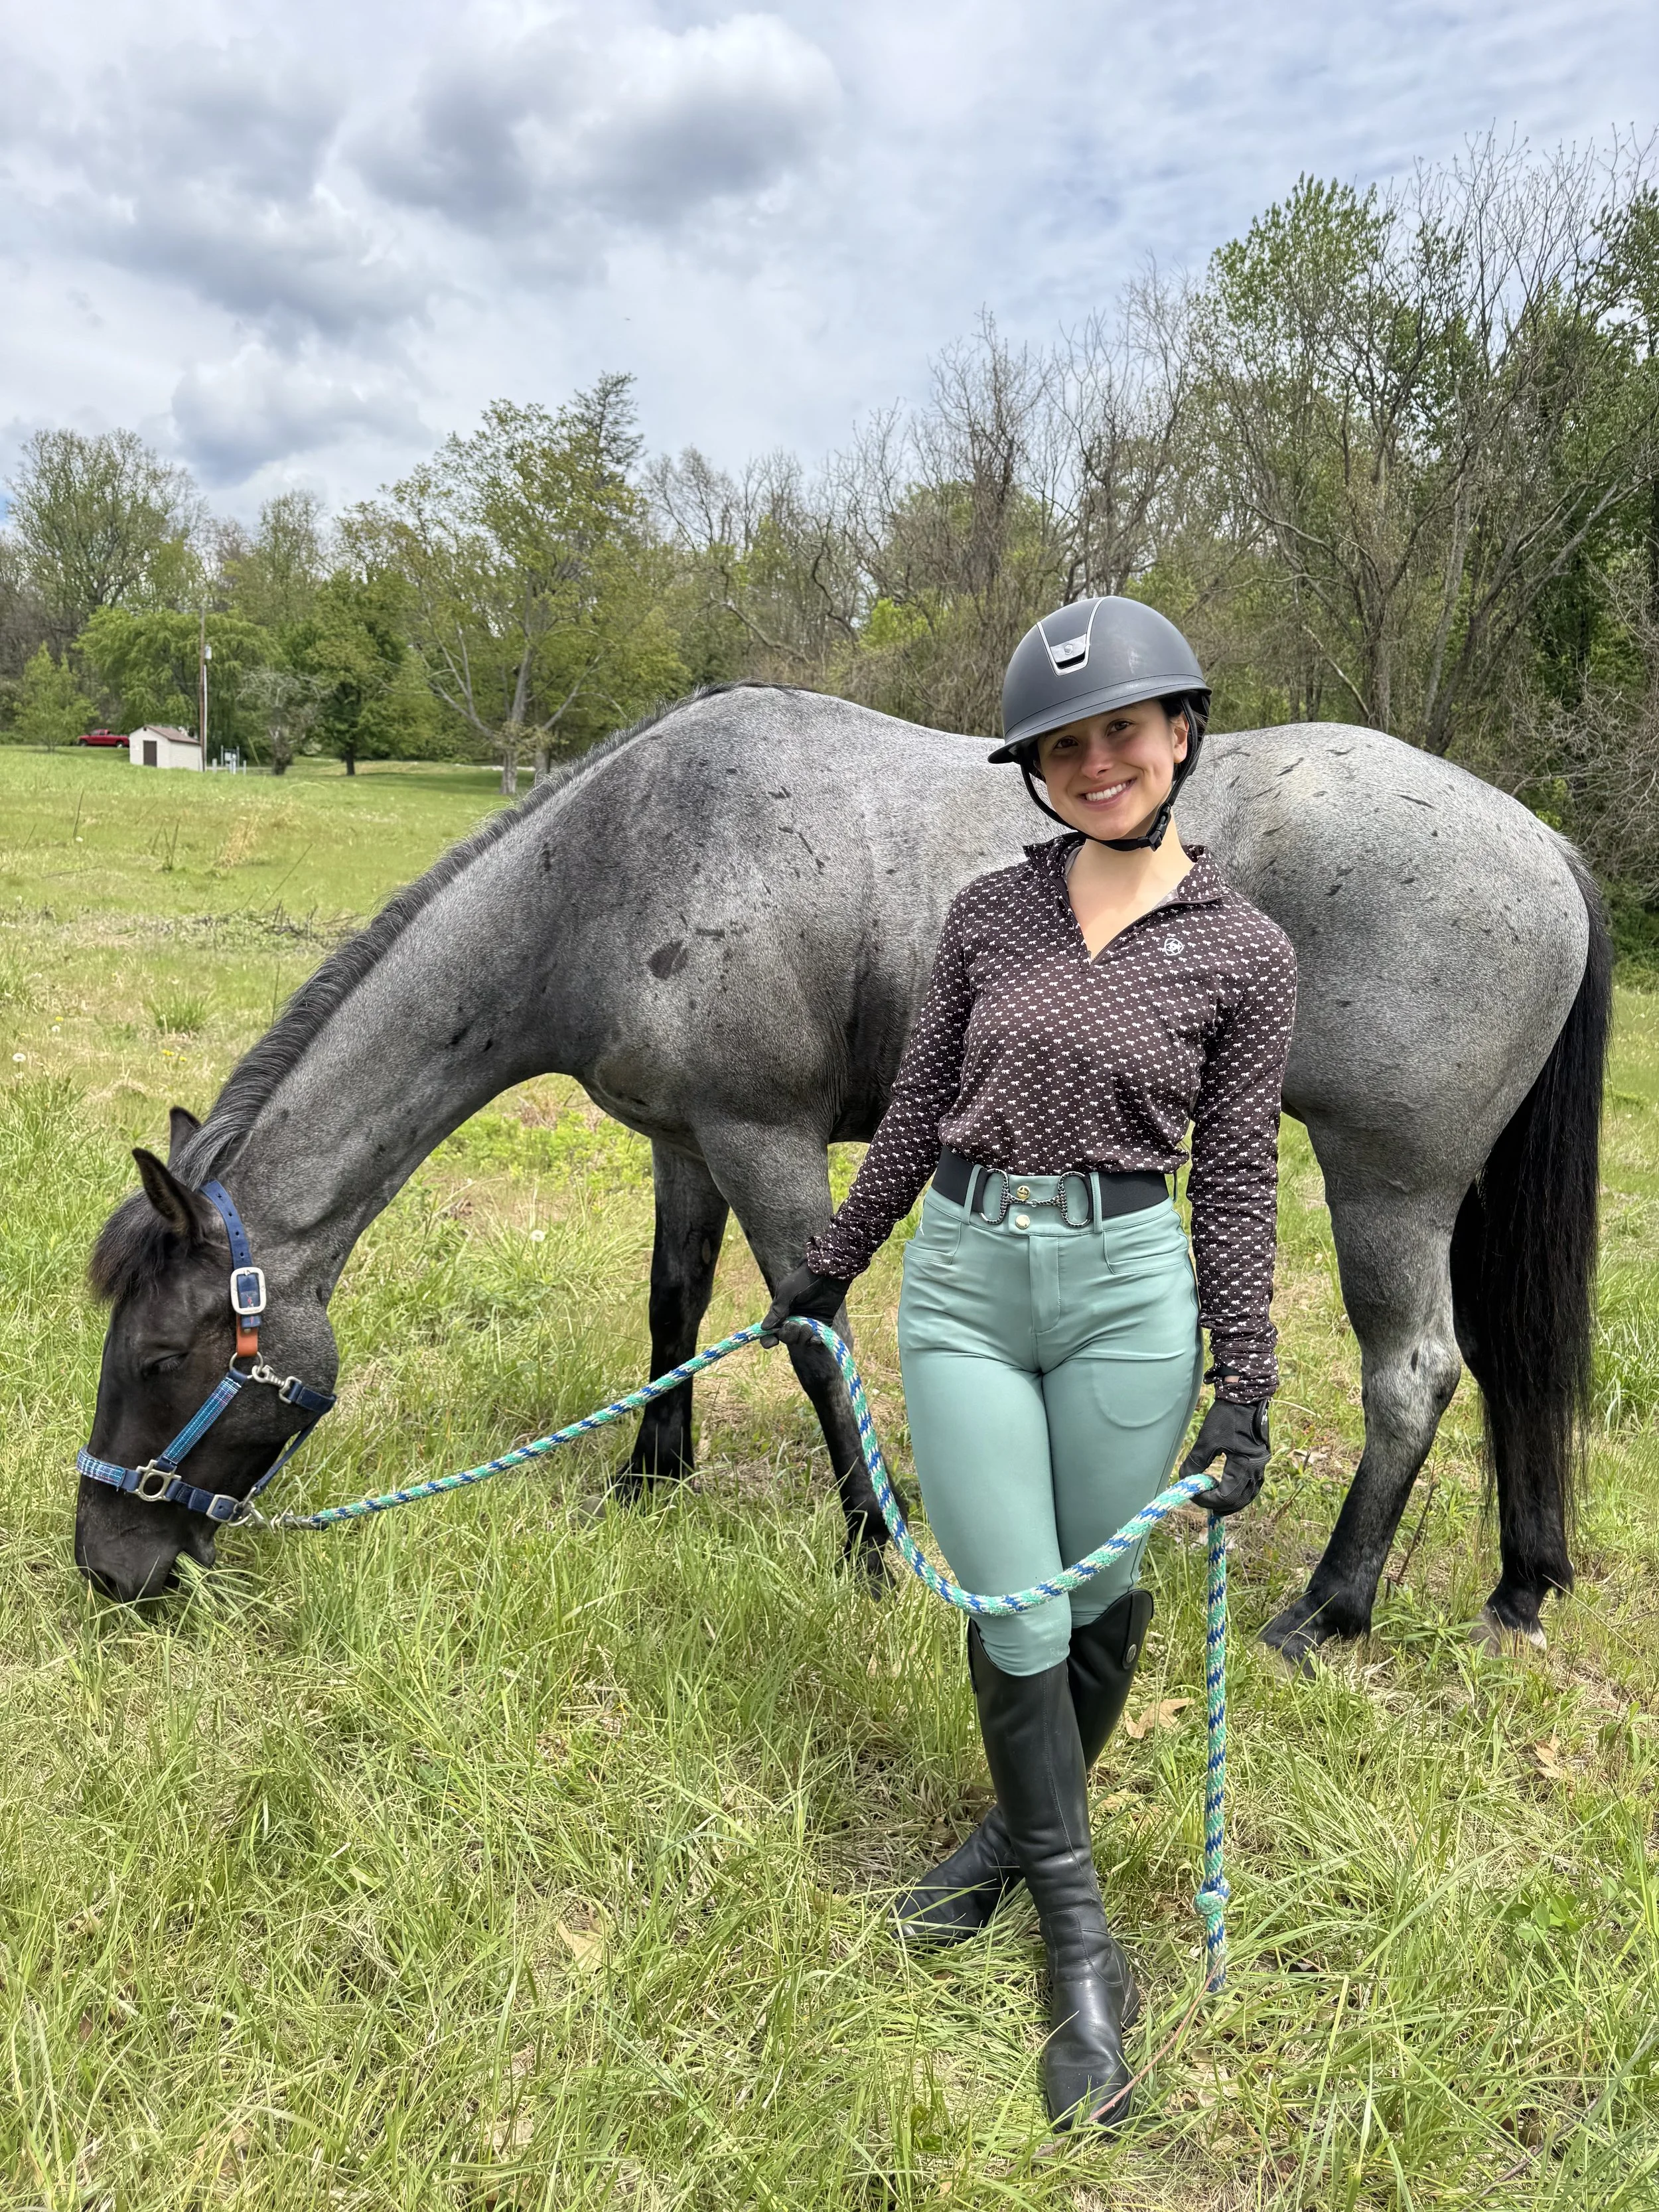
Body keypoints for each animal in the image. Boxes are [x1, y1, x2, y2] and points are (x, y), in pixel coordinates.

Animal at [77, 684, 1610, 1667]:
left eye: (157, 1358)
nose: (105, 1568)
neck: (616, 864)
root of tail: (1542, 840)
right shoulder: (685, 1140)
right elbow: (675, 1308)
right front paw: (651, 1474)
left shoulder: (764, 1138)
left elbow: (810, 1336)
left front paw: (873, 1544)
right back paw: (1507, 1581)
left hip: (1386, 1183)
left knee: (1413, 1374)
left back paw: (1328, 1612)